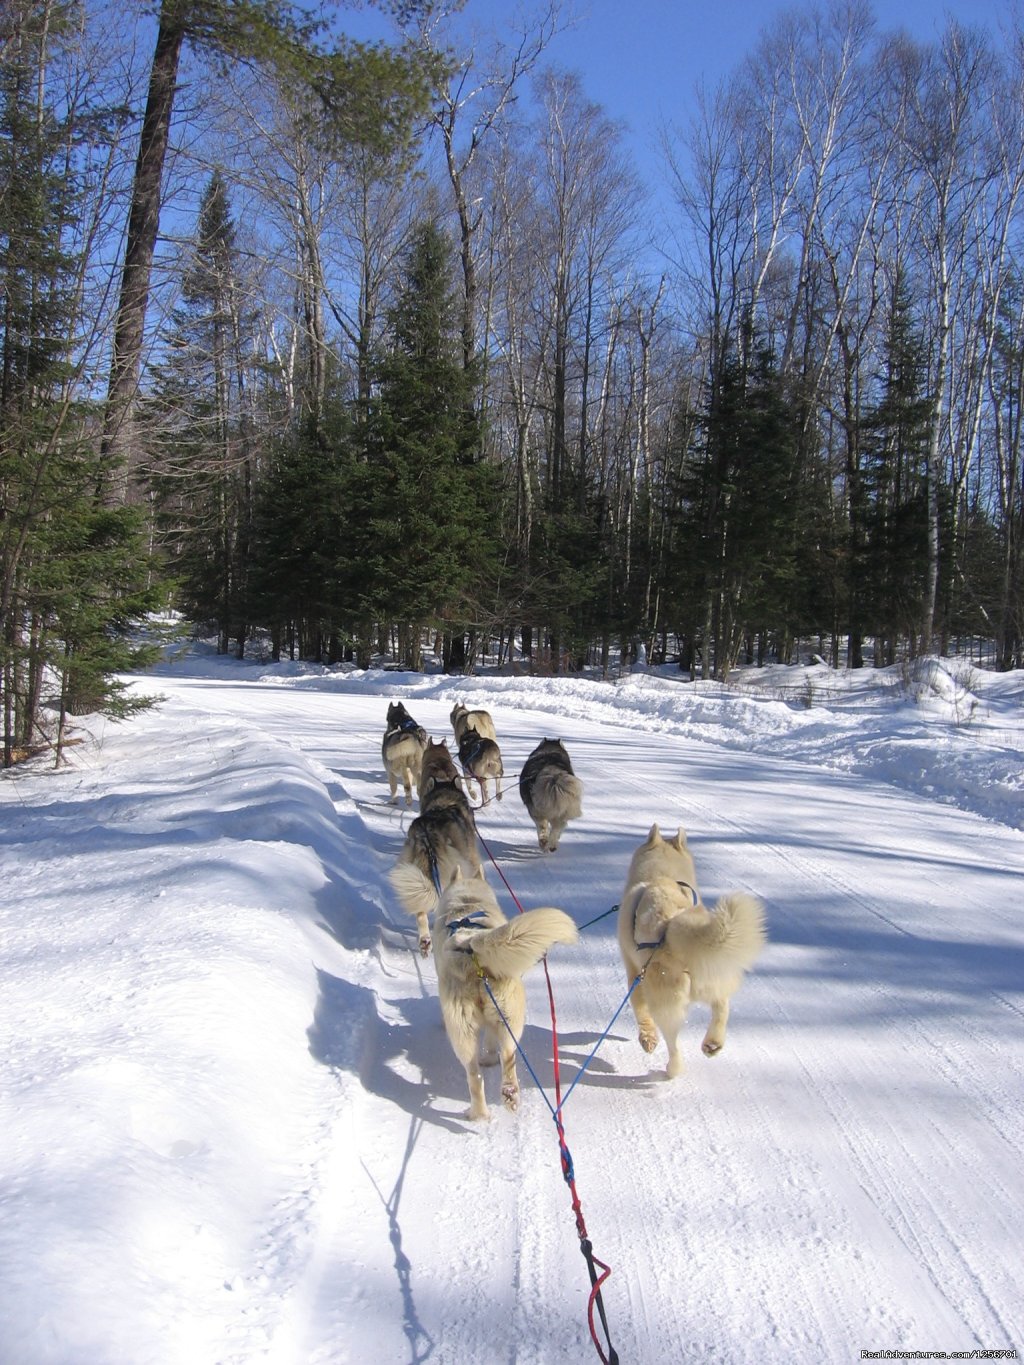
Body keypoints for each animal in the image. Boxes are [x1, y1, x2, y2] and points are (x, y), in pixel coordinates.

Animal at [431, 873, 578, 1119]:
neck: (467, 902)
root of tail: (470, 945)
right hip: (503, 1020)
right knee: (499, 1062)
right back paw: (500, 1099)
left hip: (472, 1028)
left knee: (478, 1071)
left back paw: (480, 1112)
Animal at [614, 819, 764, 1075]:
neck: (662, 875)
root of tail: (671, 923)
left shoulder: (634, 974)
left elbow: (640, 1011)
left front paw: (647, 1039)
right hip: (714, 975)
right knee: (721, 1006)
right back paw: (712, 1042)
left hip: (664, 1000)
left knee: (673, 1042)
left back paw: (672, 1069)